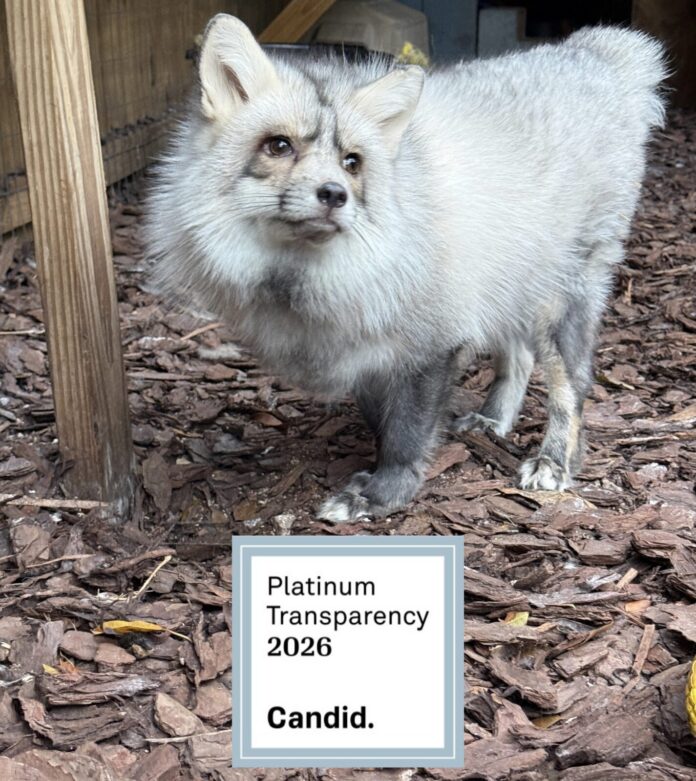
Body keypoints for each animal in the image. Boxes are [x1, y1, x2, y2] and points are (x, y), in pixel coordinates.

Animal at [145, 15, 666, 522]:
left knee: (572, 387)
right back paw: (494, 421)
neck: (308, 282)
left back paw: (556, 460)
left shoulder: (431, 344)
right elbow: (381, 420)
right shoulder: (366, 353)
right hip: (507, 286)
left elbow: (405, 433)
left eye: (352, 162)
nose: (334, 195)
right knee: (517, 358)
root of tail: (591, 53)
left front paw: (384, 493)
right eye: (279, 146)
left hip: (557, 305)